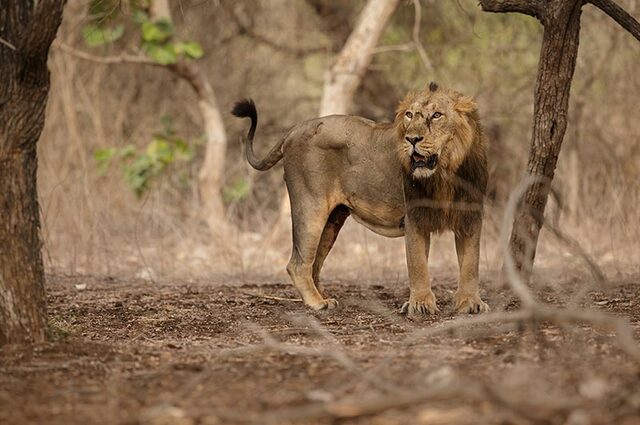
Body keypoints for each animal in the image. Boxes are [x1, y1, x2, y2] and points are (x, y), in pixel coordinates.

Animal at [232, 82, 488, 314]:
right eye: (409, 115)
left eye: (436, 115)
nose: (412, 139)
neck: (446, 173)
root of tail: (294, 129)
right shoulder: (415, 217)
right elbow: (418, 266)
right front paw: (420, 304)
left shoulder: (471, 218)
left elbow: (470, 264)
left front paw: (470, 303)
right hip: (310, 207)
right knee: (297, 264)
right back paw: (317, 303)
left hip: (333, 220)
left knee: (315, 264)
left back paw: (323, 297)